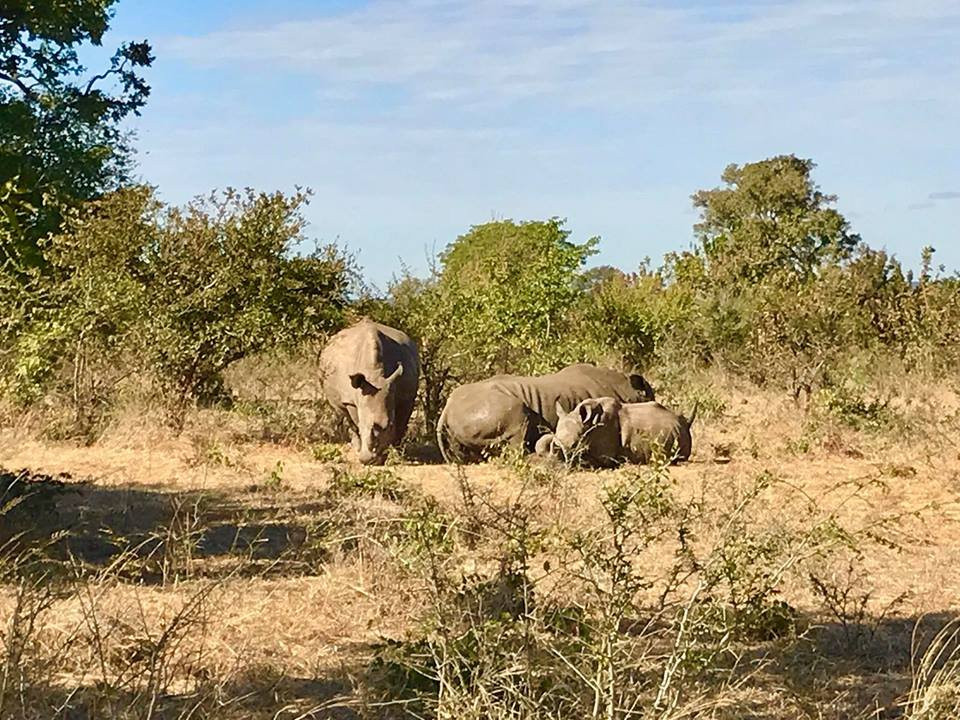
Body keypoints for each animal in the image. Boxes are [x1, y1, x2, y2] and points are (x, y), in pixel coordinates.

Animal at [320, 318, 418, 464]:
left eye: (389, 426)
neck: (375, 375)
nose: (368, 460)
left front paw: (397, 453)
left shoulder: (407, 397)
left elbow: (401, 425)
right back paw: (355, 448)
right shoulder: (351, 399)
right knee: (343, 413)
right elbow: (355, 422)